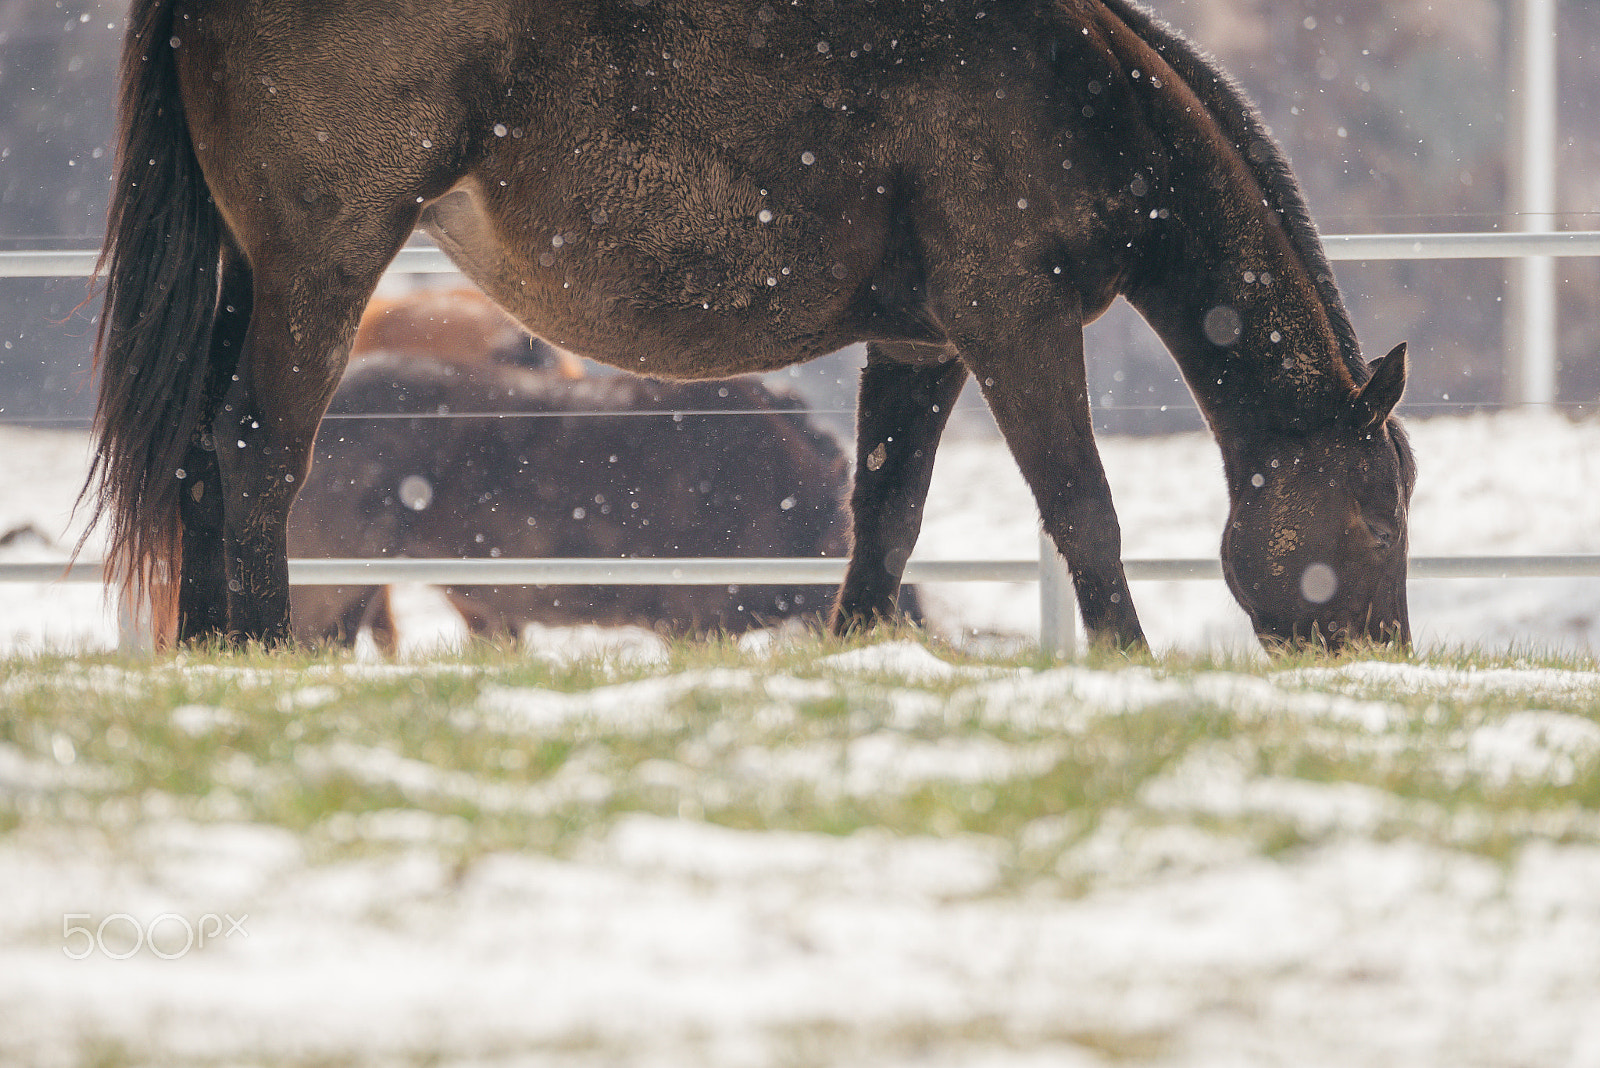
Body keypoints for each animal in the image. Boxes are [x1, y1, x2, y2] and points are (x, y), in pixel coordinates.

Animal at [87, 0, 1414, 652]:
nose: (1377, 651)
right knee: (259, 450)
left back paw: (212, 648)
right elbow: (1082, 507)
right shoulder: (1016, 323)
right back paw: (261, 646)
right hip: (322, 263)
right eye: (1382, 510)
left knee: (203, 450)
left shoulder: (923, 343)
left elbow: (885, 517)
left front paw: (860, 655)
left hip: (254, 271)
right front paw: (1127, 660)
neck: (1082, 94)